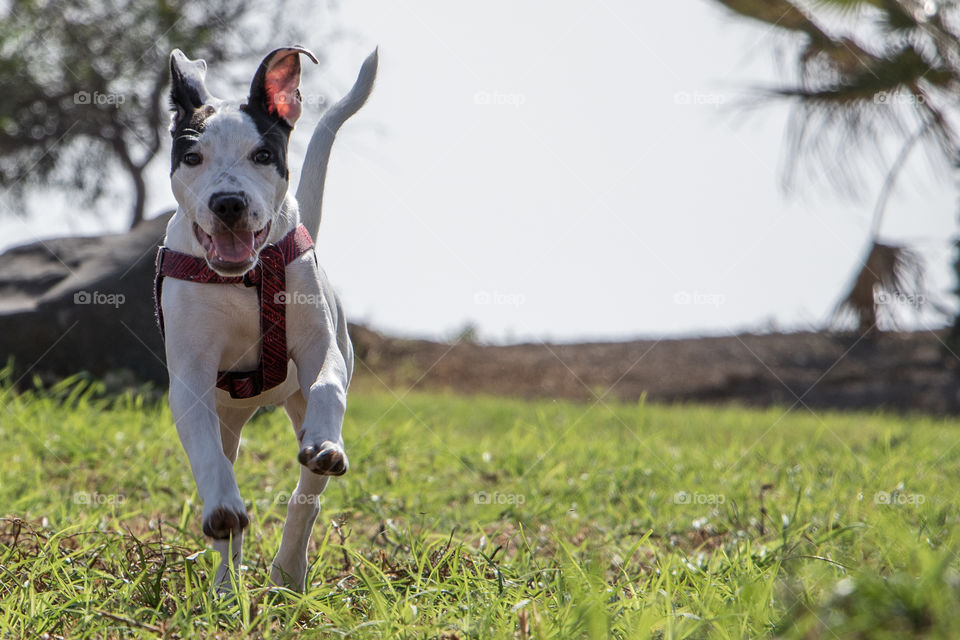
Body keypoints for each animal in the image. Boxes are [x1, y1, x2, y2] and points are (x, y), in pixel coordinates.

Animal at [157, 46, 376, 596]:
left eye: (261, 155)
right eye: (192, 157)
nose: (228, 203)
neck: (245, 279)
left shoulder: (321, 350)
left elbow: (328, 387)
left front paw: (326, 443)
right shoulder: (190, 375)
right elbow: (207, 459)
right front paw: (223, 511)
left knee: (307, 498)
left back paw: (288, 573)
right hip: (225, 420)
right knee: (224, 464)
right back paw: (225, 584)